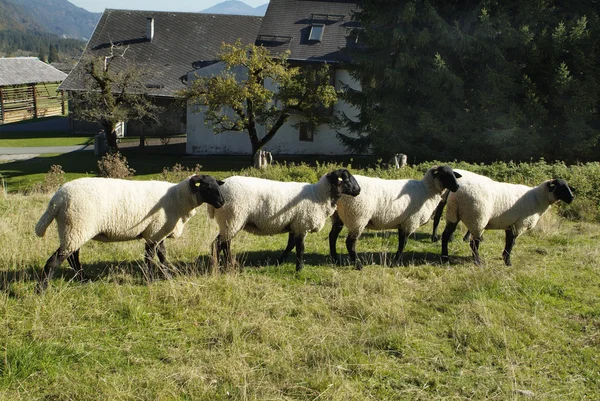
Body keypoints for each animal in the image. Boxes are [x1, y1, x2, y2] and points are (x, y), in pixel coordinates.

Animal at [35, 174, 227, 288]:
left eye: (217, 186)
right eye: (207, 187)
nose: (222, 202)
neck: (178, 198)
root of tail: (57, 199)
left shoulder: (157, 231)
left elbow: (162, 256)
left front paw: (167, 275)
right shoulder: (154, 232)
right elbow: (150, 258)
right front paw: (150, 280)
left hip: (74, 229)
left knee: (73, 256)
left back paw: (83, 279)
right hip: (76, 227)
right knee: (55, 261)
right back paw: (42, 289)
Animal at [206, 167, 358, 270]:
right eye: (347, 179)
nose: (359, 190)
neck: (318, 195)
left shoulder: (294, 225)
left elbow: (290, 245)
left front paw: (280, 261)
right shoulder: (302, 225)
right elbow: (300, 249)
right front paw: (299, 269)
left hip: (231, 221)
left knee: (225, 243)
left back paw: (230, 264)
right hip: (232, 218)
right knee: (218, 244)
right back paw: (217, 266)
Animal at [328, 164, 464, 268]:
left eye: (453, 174)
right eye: (444, 174)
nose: (457, 187)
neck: (427, 190)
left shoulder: (402, 222)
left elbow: (401, 242)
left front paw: (395, 260)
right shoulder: (410, 222)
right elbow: (403, 244)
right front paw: (395, 262)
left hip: (338, 216)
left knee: (332, 236)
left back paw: (335, 260)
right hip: (357, 217)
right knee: (350, 242)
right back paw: (357, 265)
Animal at [440, 178, 576, 266]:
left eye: (568, 186)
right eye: (561, 187)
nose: (572, 197)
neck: (538, 198)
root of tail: (457, 193)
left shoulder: (510, 225)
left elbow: (508, 242)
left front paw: (504, 257)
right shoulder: (520, 224)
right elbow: (512, 243)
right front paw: (508, 262)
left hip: (452, 214)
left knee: (445, 235)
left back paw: (445, 258)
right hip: (477, 218)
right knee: (474, 242)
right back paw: (477, 262)